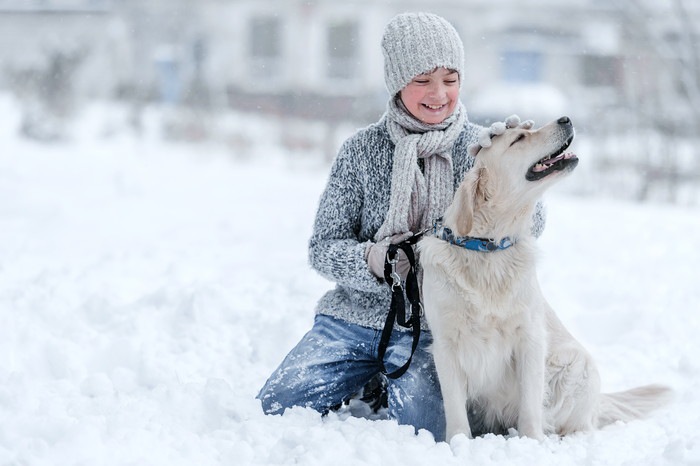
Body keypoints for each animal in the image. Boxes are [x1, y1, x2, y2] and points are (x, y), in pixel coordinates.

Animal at [418, 116, 668, 440]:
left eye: (524, 131)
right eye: (518, 139)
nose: (565, 118)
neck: (487, 249)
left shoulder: (530, 336)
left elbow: (530, 400)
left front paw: (531, 440)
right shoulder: (446, 344)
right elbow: (454, 407)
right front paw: (458, 442)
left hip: (575, 363)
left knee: (577, 424)